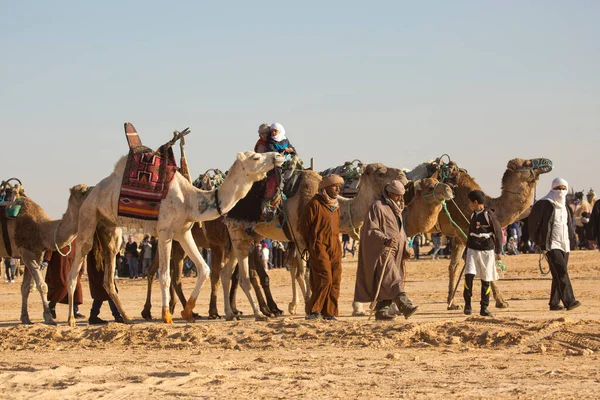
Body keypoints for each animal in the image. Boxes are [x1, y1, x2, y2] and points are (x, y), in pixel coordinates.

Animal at [0, 182, 90, 324]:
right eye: (82, 191)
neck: (41, 229)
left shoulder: (36, 254)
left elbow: (25, 287)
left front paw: (25, 318)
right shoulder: (26, 252)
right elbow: (42, 286)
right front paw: (48, 317)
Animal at [66, 148, 284, 326]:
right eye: (256, 157)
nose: (279, 155)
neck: (190, 200)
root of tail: (92, 190)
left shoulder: (183, 232)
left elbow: (203, 269)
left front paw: (187, 312)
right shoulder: (165, 233)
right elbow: (165, 276)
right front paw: (167, 316)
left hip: (110, 228)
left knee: (108, 277)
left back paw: (127, 318)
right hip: (88, 217)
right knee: (75, 268)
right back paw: (71, 319)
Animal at [404, 156, 552, 310]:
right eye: (527, 163)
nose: (547, 161)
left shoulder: (459, 235)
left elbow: (454, 266)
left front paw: (451, 303)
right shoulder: (465, 231)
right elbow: (484, 264)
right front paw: (501, 302)